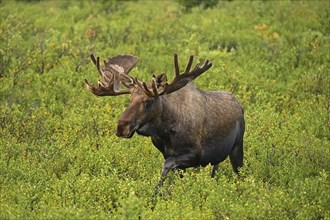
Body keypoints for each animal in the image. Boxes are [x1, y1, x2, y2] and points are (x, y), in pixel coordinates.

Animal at [85, 53, 245, 192]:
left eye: (148, 101)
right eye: (130, 99)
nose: (121, 127)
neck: (165, 131)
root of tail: (240, 105)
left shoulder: (195, 154)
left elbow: (166, 166)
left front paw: (156, 192)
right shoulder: (168, 153)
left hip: (237, 147)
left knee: (240, 174)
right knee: (216, 169)